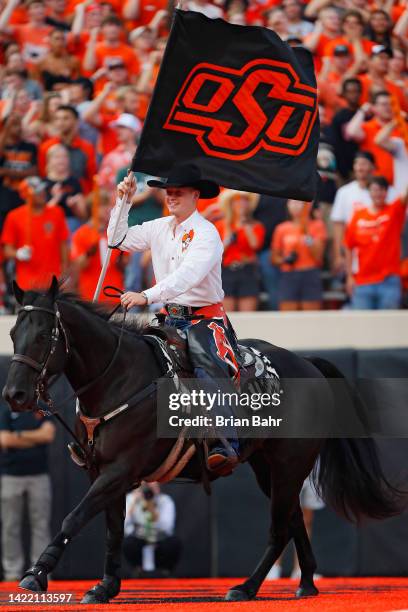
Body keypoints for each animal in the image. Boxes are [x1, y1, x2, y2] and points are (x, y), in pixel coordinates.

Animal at [1, 280, 404, 604]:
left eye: (43, 335)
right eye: (13, 334)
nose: (15, 395)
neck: (121, 378)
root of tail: (307, 364)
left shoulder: (120, 471)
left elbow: (74, 517)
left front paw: (37, 574)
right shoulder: (101, 472)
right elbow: (112, 528)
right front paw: (105, 587)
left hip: (290, 467)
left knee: (279, 529)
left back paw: (246, 587)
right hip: (268, 469)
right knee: (292, 522)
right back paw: (305, 584)